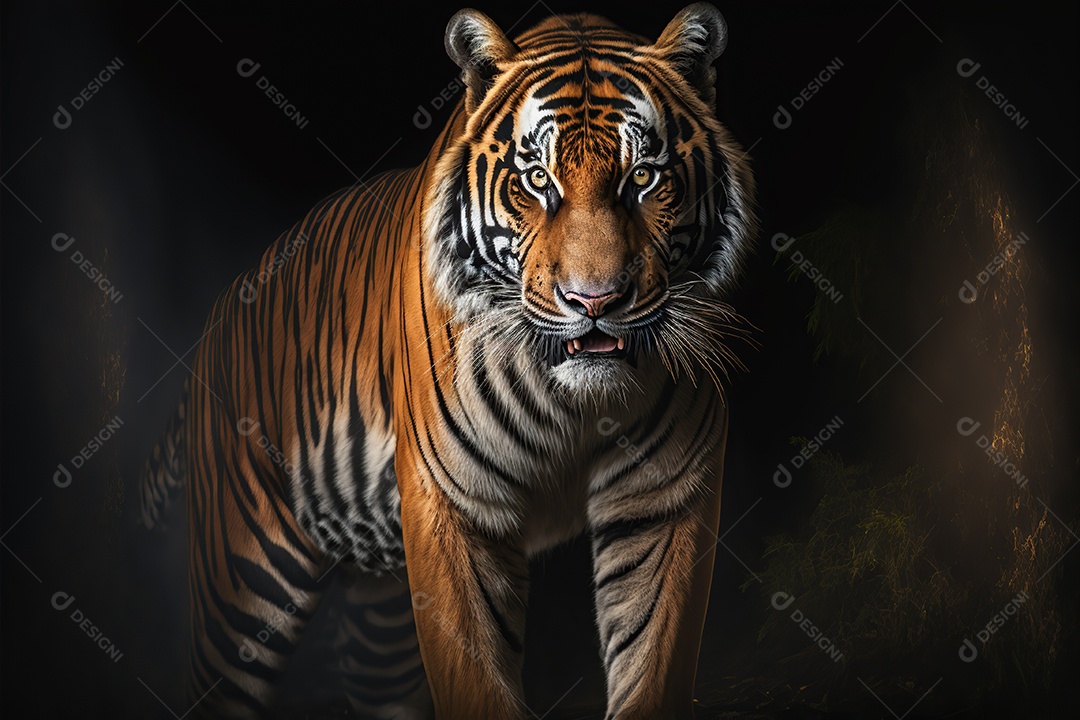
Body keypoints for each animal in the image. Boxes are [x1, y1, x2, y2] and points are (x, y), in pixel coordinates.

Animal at [139, 3, 756, 718]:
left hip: (380, 616)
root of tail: (218, 312)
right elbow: (474, 676)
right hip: (241, 576)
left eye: (643, 177)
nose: (594, 299)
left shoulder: (662, 498)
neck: (574, 402)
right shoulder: (457, 504)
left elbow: (653, 666)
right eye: (537, 180)